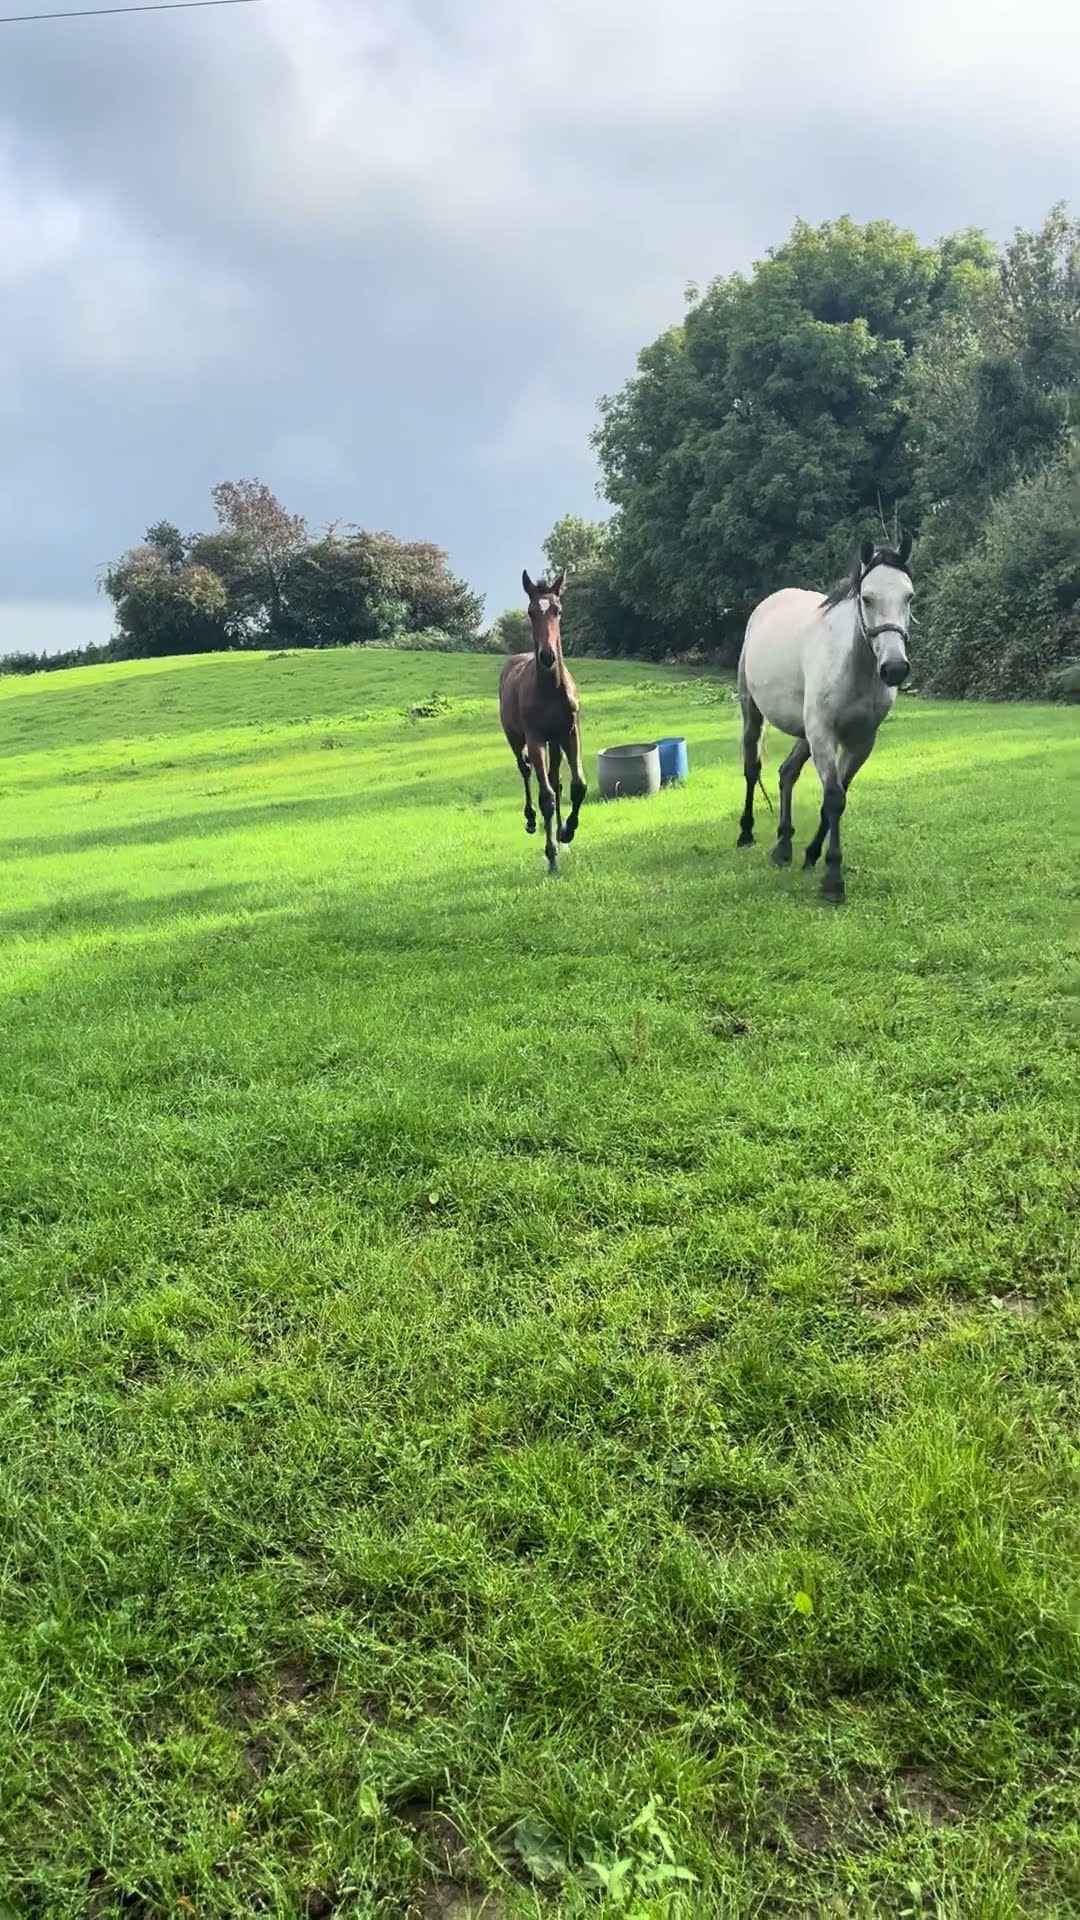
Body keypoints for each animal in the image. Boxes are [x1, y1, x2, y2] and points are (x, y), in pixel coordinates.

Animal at [498, 570, 588, 872]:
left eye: (558, 611)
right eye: (530, 612)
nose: (547, 656)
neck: (550, 689)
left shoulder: (570, 733)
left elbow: (577, 785)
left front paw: (567, 831)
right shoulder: (536, 739)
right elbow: (546, 796)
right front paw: (551, 856)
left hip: (555, 743)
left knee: (555, 778)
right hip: (515, 738)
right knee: (526, 772)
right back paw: (530, 819)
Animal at [736, 532, 913, 903]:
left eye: (909, 596)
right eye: (867, 598)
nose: (894, 668)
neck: (853, 667)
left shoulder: (861, 742)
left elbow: (835, 798)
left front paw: (812, 855)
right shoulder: (824, 734)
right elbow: (833, 798)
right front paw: (833, 879)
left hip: (805, 734)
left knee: (786, 773)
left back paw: (784, 846)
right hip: (754, 712)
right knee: (752, 769)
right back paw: (746, 833)